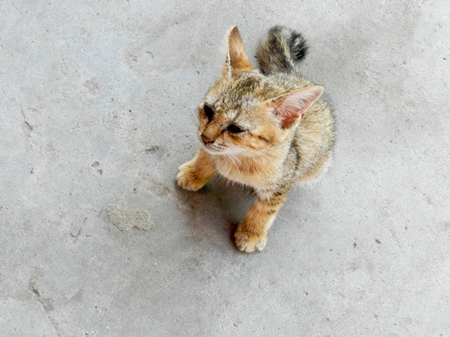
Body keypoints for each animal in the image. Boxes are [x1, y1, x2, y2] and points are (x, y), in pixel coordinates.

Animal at [176, 25, 334, 252]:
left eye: (236, 128)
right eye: (208, 110)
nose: (205, 137)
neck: (239, 157)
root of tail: (289, 73)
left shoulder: (280, 183)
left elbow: (266, 209)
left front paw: (252, 232)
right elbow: (206, 156)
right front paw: (194, 172)